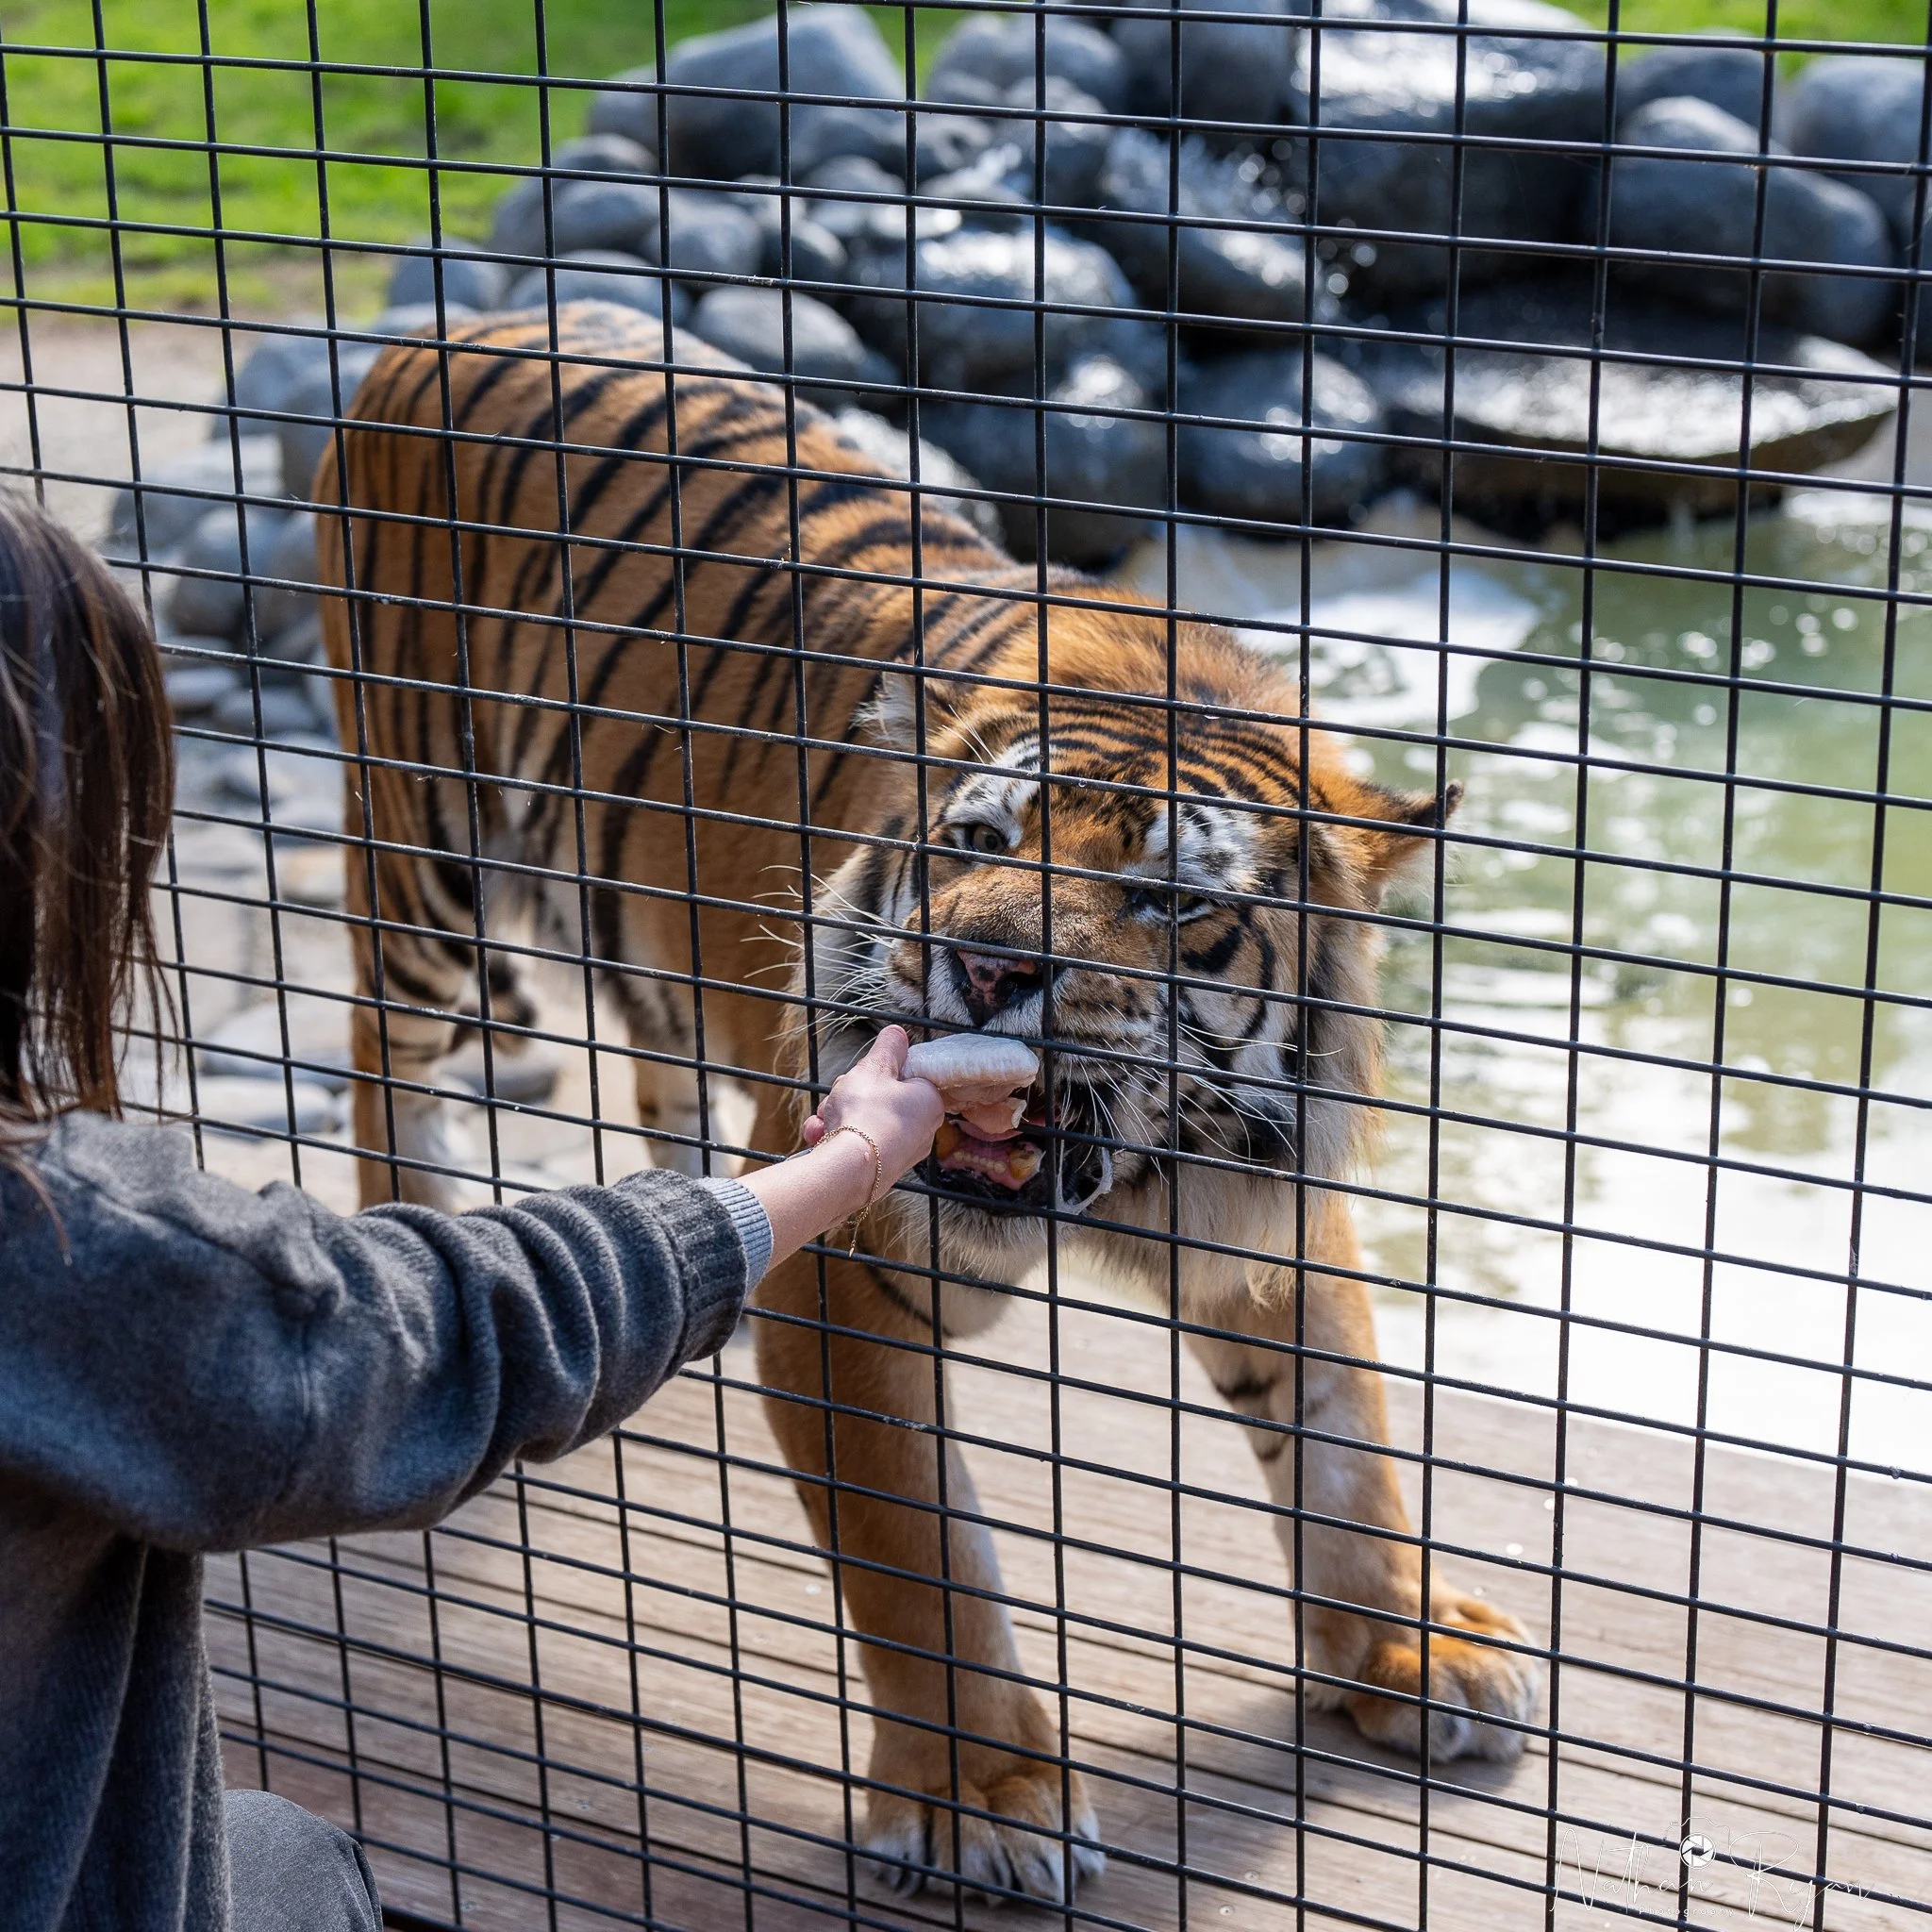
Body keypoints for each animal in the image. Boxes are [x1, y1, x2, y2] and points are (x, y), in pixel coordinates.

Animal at [316, 302, 1537, 1904]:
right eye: (976, 844)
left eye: (1165, 901)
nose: (988, 963)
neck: (1149, 1169)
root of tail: (448, 321)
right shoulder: (846, 1278)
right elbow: (923, 1562)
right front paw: (984, 1802)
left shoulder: (1268, 1219)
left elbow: (1344, 1440)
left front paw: (1409, 1645)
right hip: (425, 852)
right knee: (379, 1050)